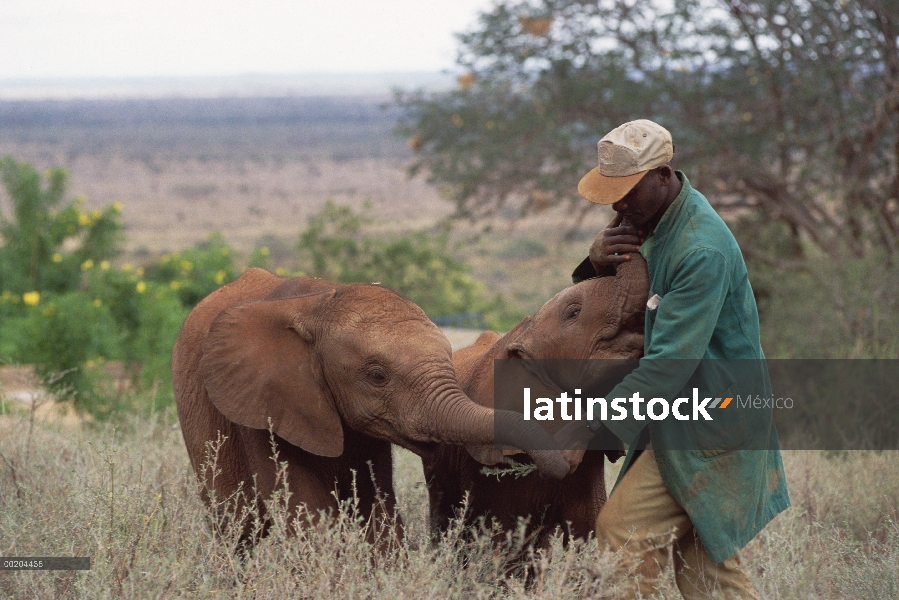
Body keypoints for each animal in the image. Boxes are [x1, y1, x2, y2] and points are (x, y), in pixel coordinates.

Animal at [171, 270, 568, 548]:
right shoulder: (264, 403)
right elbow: (306, 512)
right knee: (237, 527)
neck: (317, 304)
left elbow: (377, 510)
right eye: (377, 376)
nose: (562, 463)